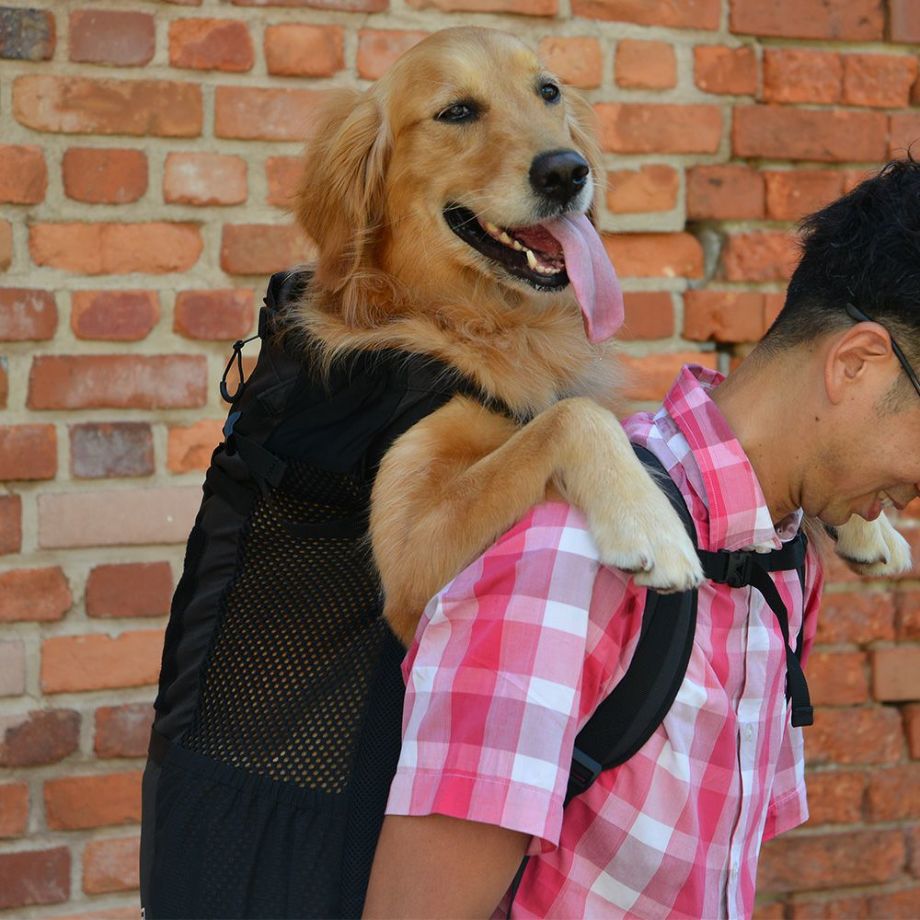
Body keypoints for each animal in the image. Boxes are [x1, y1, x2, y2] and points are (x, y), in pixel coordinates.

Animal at [291, 26, 910, 645]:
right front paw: (650, 522)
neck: (478, 321)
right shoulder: (407, 557)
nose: (566, 171)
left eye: (548, 91)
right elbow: (575, 415)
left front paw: (871, 529)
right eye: (456, 111)